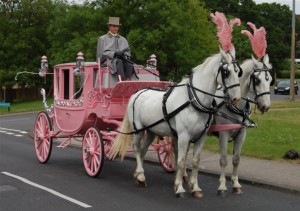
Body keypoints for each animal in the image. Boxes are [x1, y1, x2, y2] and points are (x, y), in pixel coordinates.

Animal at [110, 47, 241, 199]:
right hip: (138, 130)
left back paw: (138, 174)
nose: (237, 98)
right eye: (226, 72)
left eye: (238, 71)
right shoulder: (183, 136)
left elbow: (195, 161)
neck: (193, 100)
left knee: (142, 150)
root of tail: (137, 93)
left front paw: (195, 187)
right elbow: (181, 160)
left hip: (151, 131)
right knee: (136, 148)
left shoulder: (201, 137)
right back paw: (141, 176)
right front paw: (179, 188)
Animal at [214, 54, 274, 196]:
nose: (266, 106)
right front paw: (222, 186)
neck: (235, 105)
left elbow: (236, 159)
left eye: (270, 80)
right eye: (257, 80)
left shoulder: (242, 134)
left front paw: (236, 184)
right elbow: (223, 160)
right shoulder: (223, 133)